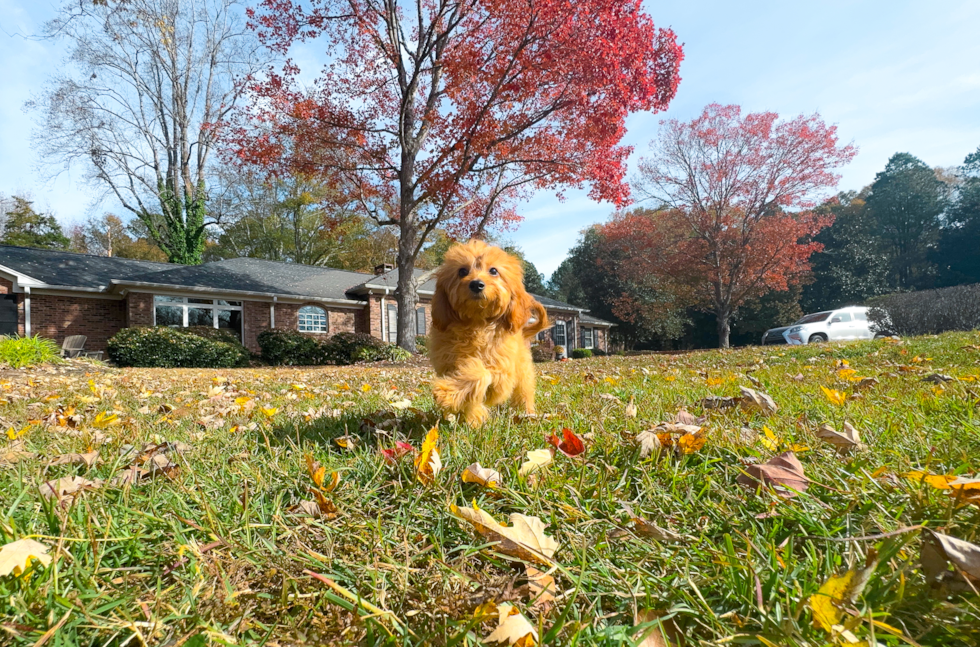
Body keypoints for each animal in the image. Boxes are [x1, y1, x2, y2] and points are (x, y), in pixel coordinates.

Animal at [428, 240, 552, 428]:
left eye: (493, 270)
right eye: (462, 271)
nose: (476, 284)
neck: (477, 323)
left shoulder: (502, 373)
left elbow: (482, 374)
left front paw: (445, 394)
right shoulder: (448, 363)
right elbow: (472, 387)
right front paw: (469, 414)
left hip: (522, 370)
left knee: (524, 391)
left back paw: (527, 414)